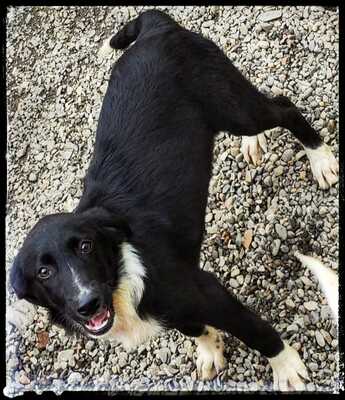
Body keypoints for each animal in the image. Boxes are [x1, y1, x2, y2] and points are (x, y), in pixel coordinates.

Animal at [10, 9, 338, 390]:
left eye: (86, 246)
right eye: (44, 272)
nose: (87, 304)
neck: (121, 276)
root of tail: (156, 26)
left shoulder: (207, 292)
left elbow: (259, 334)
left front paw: (287, 369)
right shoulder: (172, 311)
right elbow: (194, 329)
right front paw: (210, 350)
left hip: (234, 109)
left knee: (284, 107)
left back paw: (320, 159)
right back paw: (255, 145)